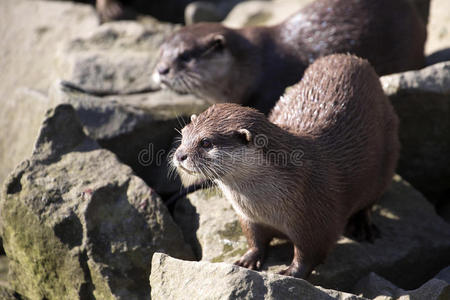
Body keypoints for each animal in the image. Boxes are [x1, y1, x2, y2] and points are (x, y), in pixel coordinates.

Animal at [171, 54, 400, 278]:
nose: (180, 155)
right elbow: (254, 239)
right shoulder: (248, 217)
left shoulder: (318, 218)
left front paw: (292, 272)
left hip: (387, 156)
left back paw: (362, 226)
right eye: (184, 133)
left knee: (371, 199)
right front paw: (247, 259)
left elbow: (310, 253)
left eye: (206, 142)